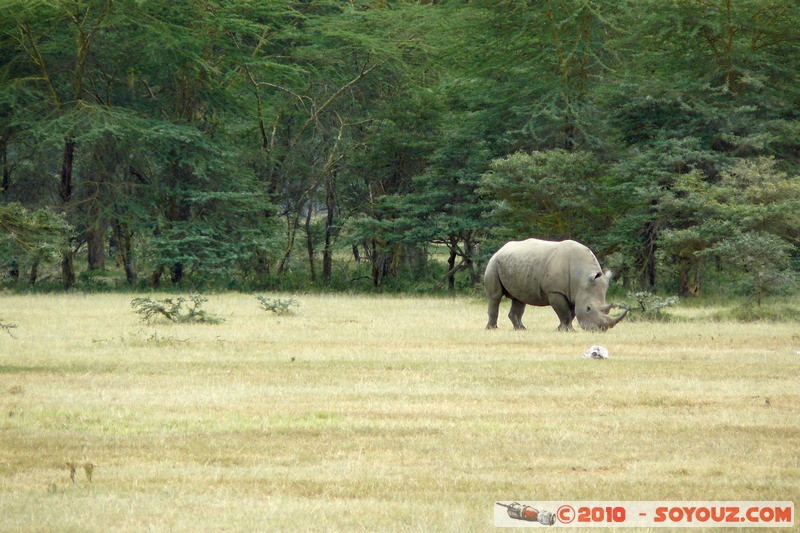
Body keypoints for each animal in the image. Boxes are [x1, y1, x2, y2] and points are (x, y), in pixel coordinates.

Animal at [485, 238, 628, 332]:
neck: (581, 278)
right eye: (588, 308)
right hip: (493, 263)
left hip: (517, 263)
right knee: (495, 296)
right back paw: (492, 329)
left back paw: (521, 329)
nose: (599, 330)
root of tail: (501, 249)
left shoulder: (574, 292)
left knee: (519, 298)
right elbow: (564, 311)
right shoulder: (555, 291)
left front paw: (560, 329)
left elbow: (571, 312)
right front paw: (567, 330)